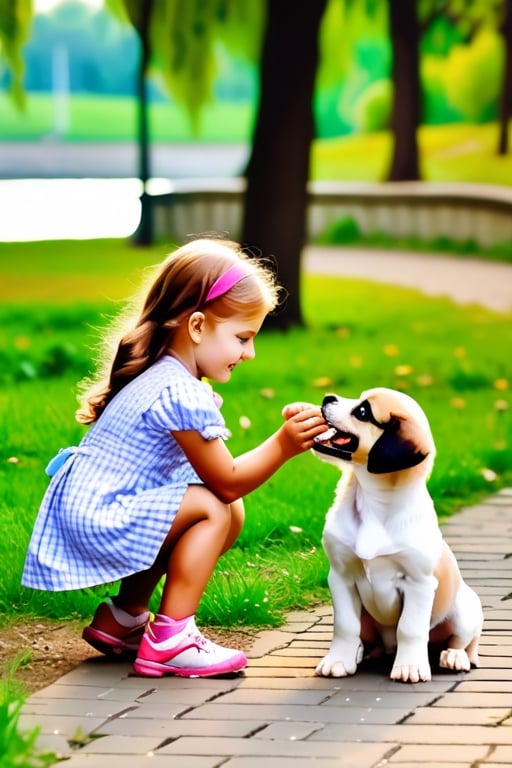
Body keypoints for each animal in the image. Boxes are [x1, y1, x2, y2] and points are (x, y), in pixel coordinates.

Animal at [312, 390, 484, 684]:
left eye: (363, 412)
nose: (328, 397)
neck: (374, 502)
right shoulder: (341, 577)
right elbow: (345, 626)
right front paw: (338, 661)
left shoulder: (418, 584)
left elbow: (409, 628)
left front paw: (410, 667)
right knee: (367, 639)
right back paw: (361, 652)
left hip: (464, 609)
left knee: (463, 643)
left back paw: (454, 657)